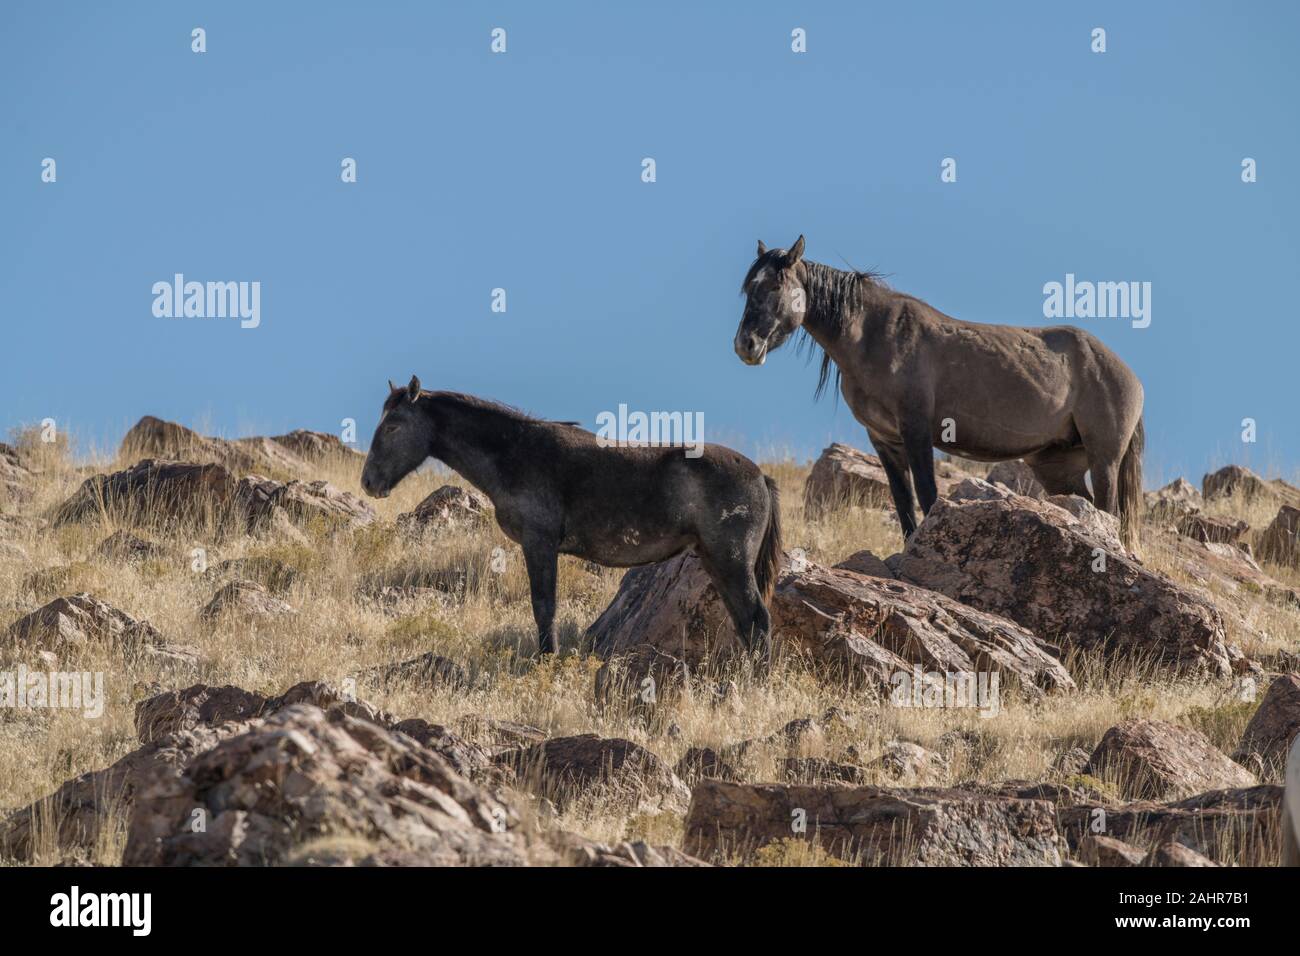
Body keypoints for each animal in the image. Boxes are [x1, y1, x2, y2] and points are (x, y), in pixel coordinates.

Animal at [358, 377, 780, 660]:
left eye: (393, 425)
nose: (369, 482)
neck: (517, 453)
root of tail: (760, 475)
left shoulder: (539, 543)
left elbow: (544, 606)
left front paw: (548, 659)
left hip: (730, 561)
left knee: (757, 619)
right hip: (716, 561)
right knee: (745, 621)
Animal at [738, 238, 1144, 548]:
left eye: (775, 286)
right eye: (748, 287)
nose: (746, 345)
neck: (872, 334)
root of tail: (1128, 374)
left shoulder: (917, 430)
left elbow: (927, 493)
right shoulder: (884, 440)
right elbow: (903, 502)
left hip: (1104, 459)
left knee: (1109, 513)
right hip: (1057, 466)